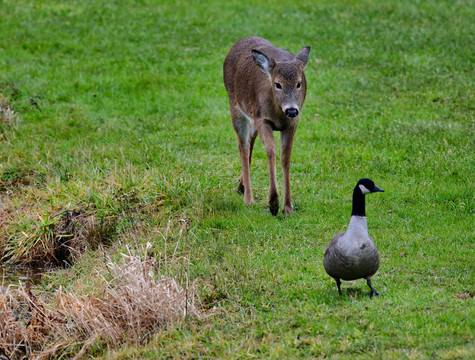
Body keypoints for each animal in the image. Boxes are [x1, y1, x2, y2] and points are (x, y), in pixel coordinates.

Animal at [224, 36, 312, 215]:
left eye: (299, 83)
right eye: (278, 84)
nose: (291, 110)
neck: (278, 114)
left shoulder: (292, 123)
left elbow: (286, 157)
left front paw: (288, 207)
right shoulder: (262, 118)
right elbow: (271, 150)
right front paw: (273, 203)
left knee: (251, 138)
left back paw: (241, 186)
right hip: (235, 106)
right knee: (242, 145)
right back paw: (248, 199)